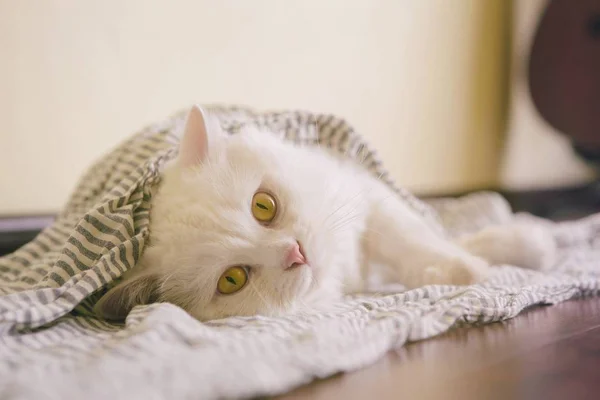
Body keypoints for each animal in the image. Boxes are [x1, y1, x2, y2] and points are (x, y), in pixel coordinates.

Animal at [94, 104, 556, 320]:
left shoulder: (365, 195)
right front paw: (471, 270)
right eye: (232, 280)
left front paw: (498, 256)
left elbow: (417, 242)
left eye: (263, 206)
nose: (296, 253)